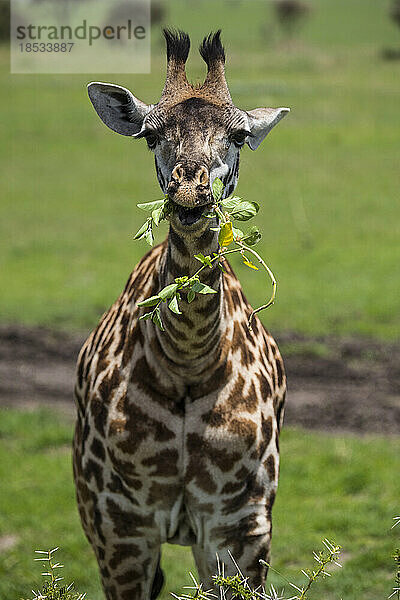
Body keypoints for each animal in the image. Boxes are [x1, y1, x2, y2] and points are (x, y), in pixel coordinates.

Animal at [73, 29, 290, 600]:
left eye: (238, 135)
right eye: (150, 136)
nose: (190, 191)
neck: (188, 359)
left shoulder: (239, 526)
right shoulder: (120, 527)